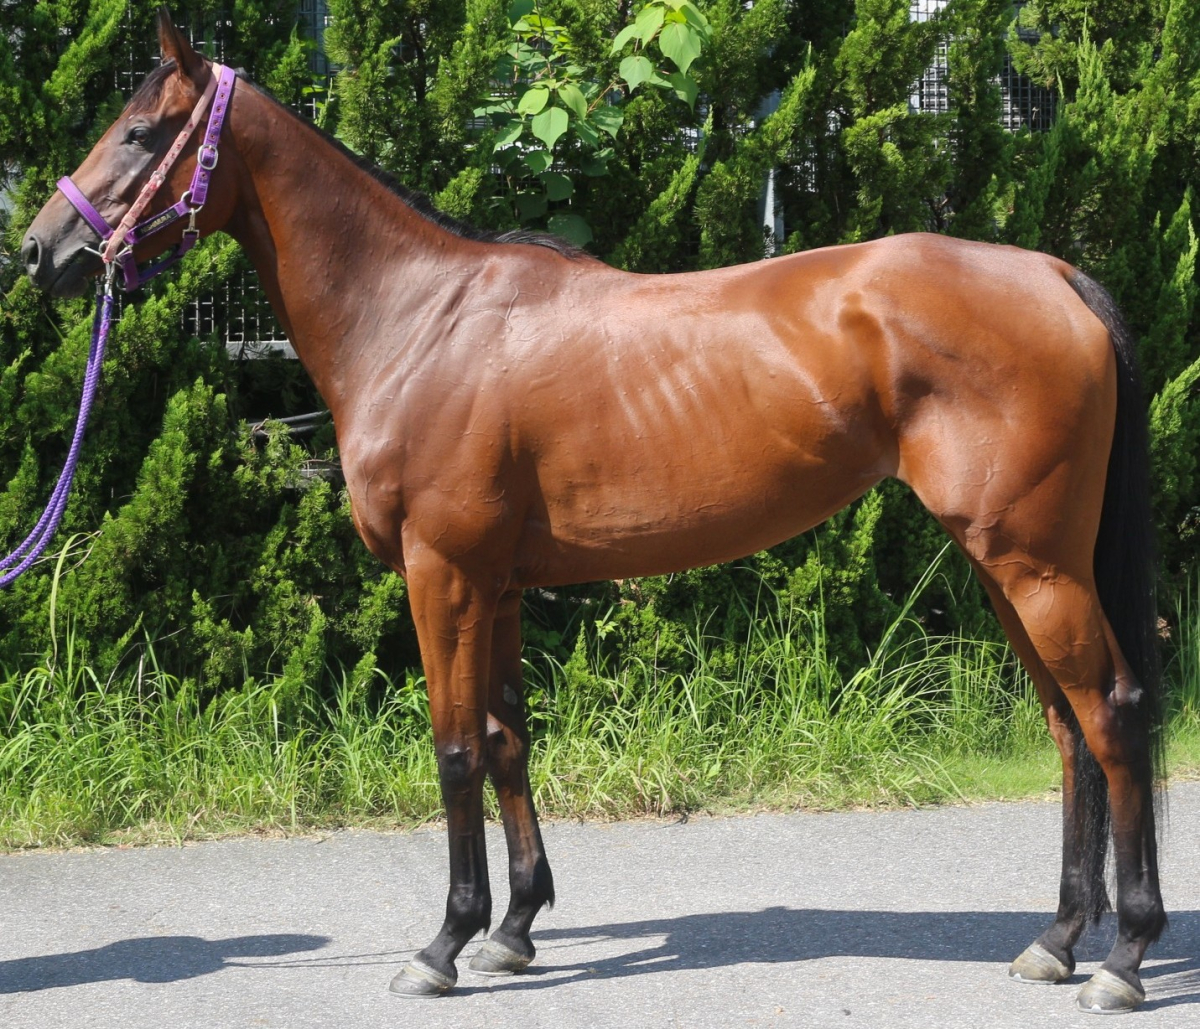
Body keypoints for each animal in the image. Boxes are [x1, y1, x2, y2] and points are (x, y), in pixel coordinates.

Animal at [21, 10, 1165, 1013]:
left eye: (139, 132)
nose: (41, 251)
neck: (418, 320)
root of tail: (1054, 274)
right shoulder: (498, 585)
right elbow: (508, 739)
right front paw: (515, 929)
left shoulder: (442, 574)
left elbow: (454, 748)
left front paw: (443, 943)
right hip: (1007, 563)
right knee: (1068, 726)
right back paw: (1058, 940)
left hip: (1033, 562)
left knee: (1110, 715)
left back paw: (1123, 958)